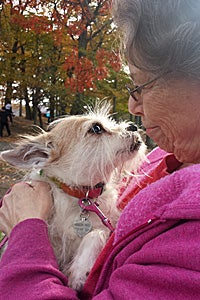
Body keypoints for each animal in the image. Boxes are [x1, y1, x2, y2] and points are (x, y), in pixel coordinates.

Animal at [0, 103, 146, 290]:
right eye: (96, 128)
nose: (133, 126)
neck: (82, 196)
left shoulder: (107, 224)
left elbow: (97, 232)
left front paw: (80, 270)